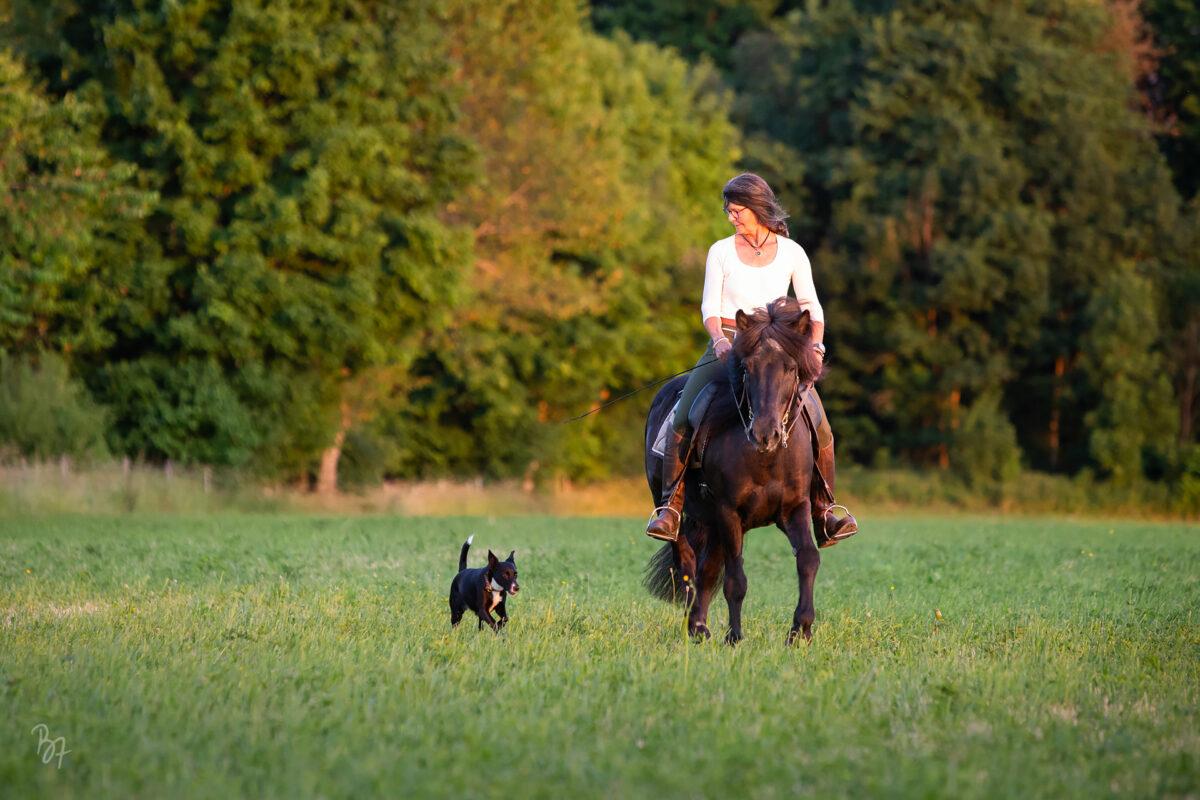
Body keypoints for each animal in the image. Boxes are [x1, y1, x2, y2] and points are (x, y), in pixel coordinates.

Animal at [642, 297, 827, 644]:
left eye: (791, 368)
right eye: (747, 369)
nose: (766, 433)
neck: (766, 458)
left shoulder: (794, 508)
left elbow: (809, 559)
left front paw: (801, 631)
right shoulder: (729, 512)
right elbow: (736, 578)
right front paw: (735, 637)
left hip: (713, 525)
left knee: (706, 569)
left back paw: (700, 626)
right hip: (680, 510)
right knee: (688, 563)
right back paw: (695, 627)